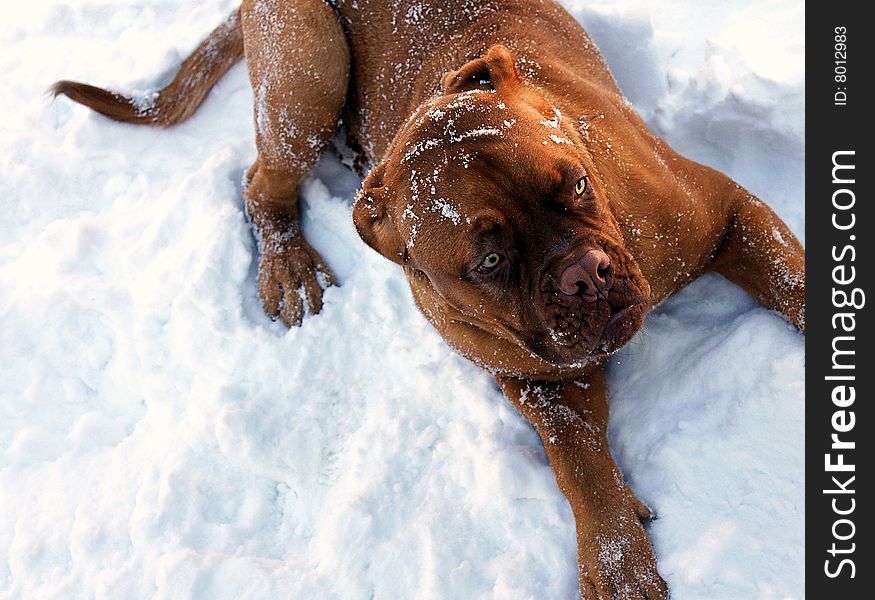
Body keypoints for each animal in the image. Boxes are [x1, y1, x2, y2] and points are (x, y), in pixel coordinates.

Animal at [54, 2, 808, 596]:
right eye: (490, 262)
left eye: (575, 184)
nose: (585, 275)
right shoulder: (535, 381)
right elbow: (580, 464)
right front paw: (617, 555)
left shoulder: (728, 214)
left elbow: (792, 279)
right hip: (307, 62)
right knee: (262, 183)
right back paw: (290, 265)